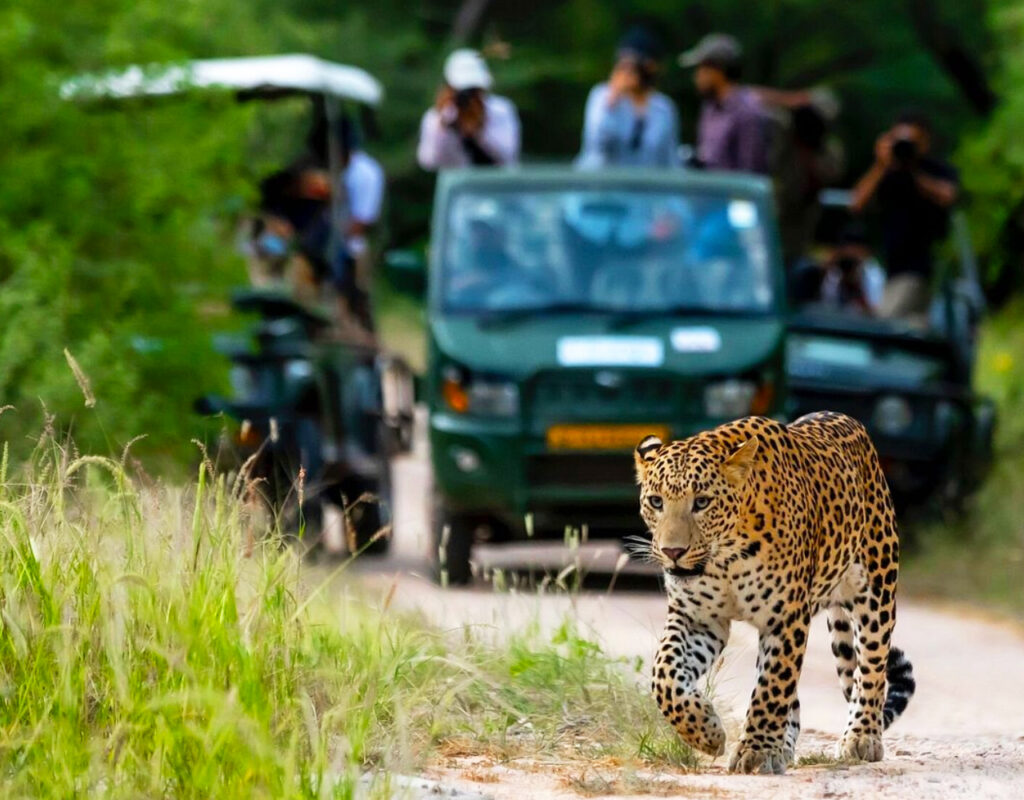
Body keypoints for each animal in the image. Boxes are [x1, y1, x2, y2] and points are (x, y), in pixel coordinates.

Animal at [634, 411, 917, 774]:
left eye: (702, 502)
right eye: (656, 502)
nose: (672, 551)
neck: (726, 558)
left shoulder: (785, 619)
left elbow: (771, 687)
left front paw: (755, 751)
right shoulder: (698, 619)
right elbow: (665, 675)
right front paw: (706, 732)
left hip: (876, 591)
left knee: (871, 666)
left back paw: (862, 736)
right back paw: (782, 748)